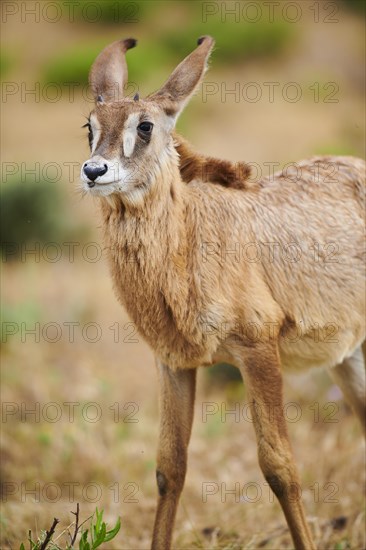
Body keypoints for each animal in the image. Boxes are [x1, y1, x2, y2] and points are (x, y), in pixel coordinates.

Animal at [81, 36, 366, 548]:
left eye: (146, 125)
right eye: (88, 126)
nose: (95, 171)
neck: (189, 238)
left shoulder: (258, 350)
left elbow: (279, 467)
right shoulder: (174, 363)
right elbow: (169, 468)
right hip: (347, 358)